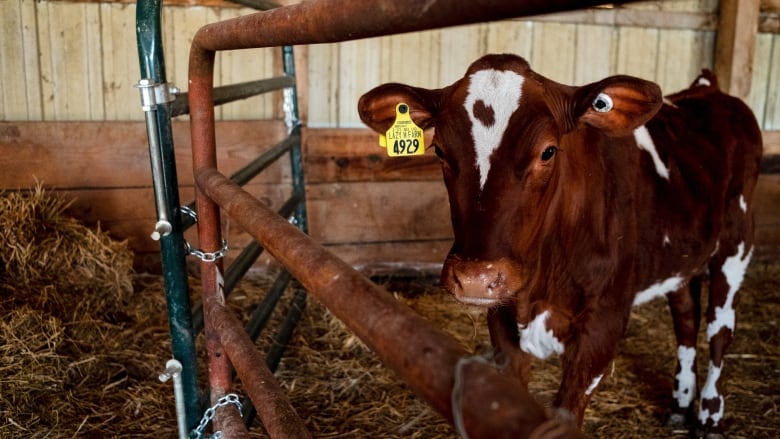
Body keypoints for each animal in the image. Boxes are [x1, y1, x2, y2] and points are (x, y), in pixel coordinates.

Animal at [362, 55, 760, 439]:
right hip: (681, 260)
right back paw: (680, 405)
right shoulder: (503, 325)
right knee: (686, 319)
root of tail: (709, 90)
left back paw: (710, 419)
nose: (476, 277)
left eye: (548, 151)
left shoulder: (603, 325)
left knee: (719, 331)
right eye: (441, 151)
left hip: (736, 246)